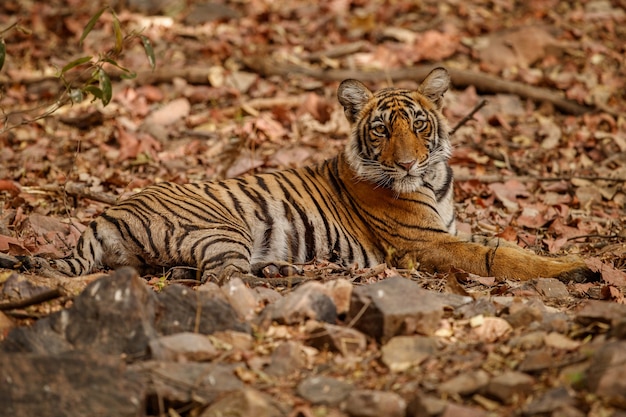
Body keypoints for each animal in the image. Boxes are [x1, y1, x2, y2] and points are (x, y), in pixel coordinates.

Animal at [39, 67, 596, 282]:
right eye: (381, 130)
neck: (434, 181)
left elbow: (506, 245)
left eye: (418, 124)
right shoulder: (426, 243)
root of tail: (103, 215)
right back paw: (285, 276)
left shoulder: (448, 229)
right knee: (221, 278)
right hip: (222, 229)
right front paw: (576, 267)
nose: (407, 163)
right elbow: (501, 257)